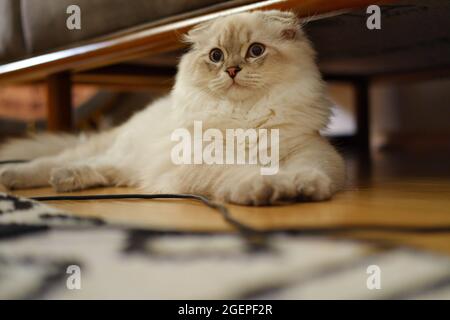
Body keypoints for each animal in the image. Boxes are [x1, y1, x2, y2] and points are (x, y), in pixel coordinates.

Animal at [0, 10, 344, 205]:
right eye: (216, 56)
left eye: (255, 51)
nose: (232, 70)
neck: (244, 116)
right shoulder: (205, 158)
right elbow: (245, 171)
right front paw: (264, 187)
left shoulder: (309, 150)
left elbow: (306, 170)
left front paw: (300, 188)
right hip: (104, 148)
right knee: (49, 161)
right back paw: (16, 177)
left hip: (123, 163)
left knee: (104, 168)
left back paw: (68, 179)